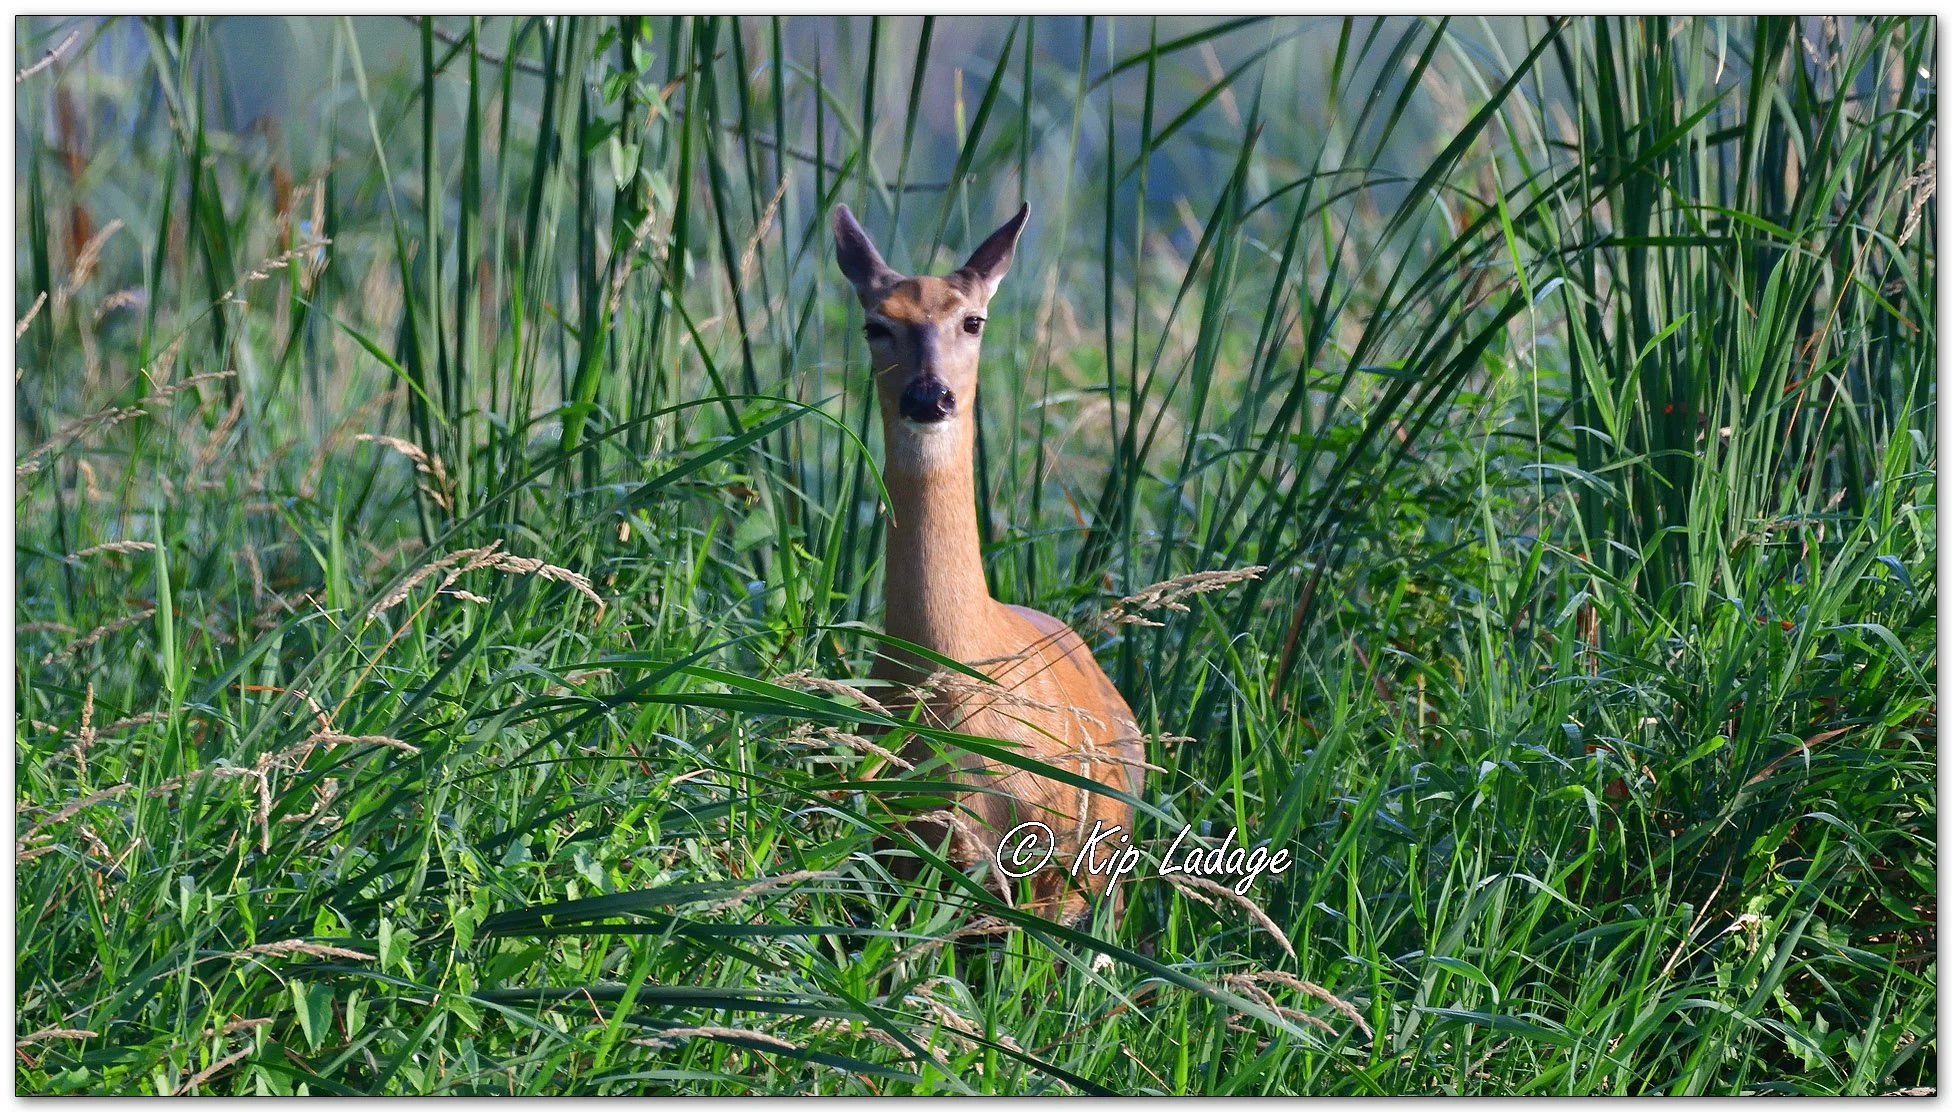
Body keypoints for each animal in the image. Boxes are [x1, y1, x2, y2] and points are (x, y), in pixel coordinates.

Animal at [832, 201, 1147, 925]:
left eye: (972, 320)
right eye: (876, 324)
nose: (929, 396)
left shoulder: (1054, 861)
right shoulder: (902, 853)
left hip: (1110, 858)